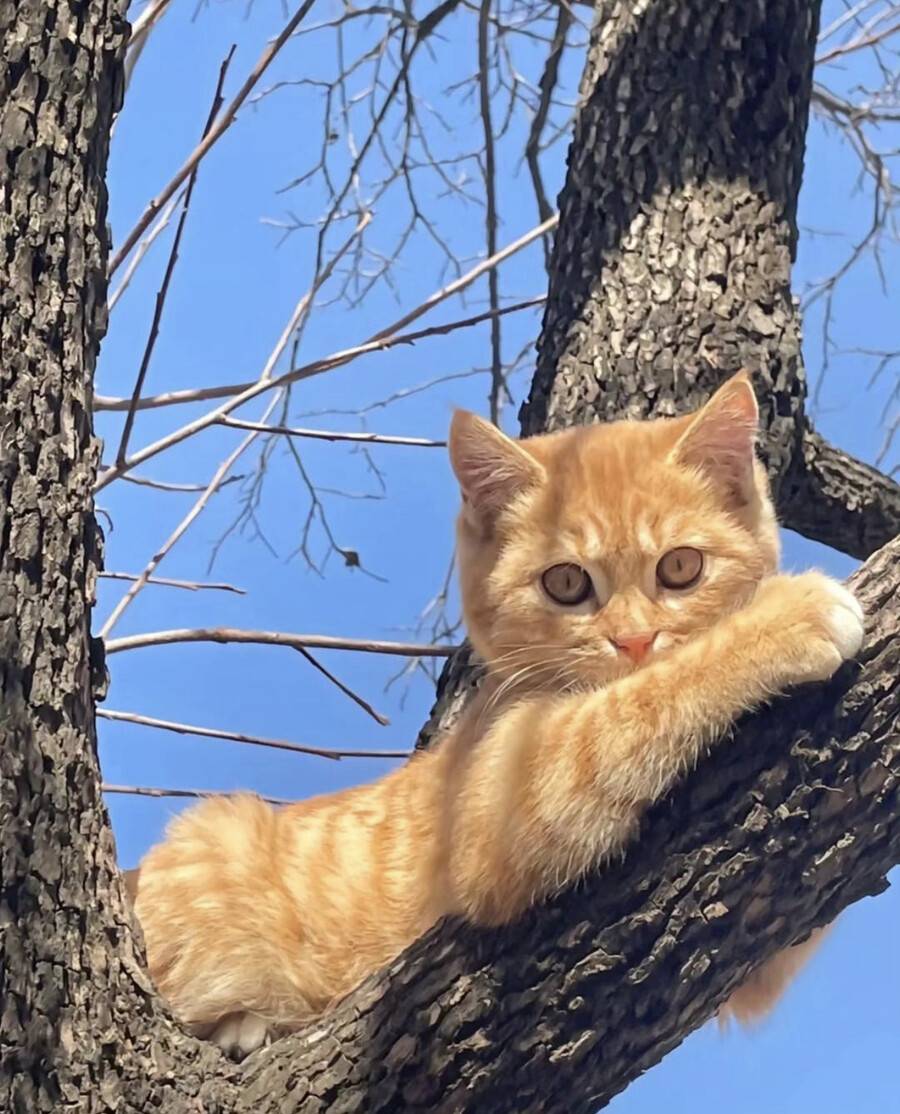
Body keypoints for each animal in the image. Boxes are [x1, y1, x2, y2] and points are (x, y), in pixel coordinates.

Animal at [123, 374, 859, 1051]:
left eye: (680, 568)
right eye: (566, 583)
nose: (633, 641)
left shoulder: (759, 957)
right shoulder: (506, 795)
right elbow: (631, 705)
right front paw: (786, 616)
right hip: (214, 837)